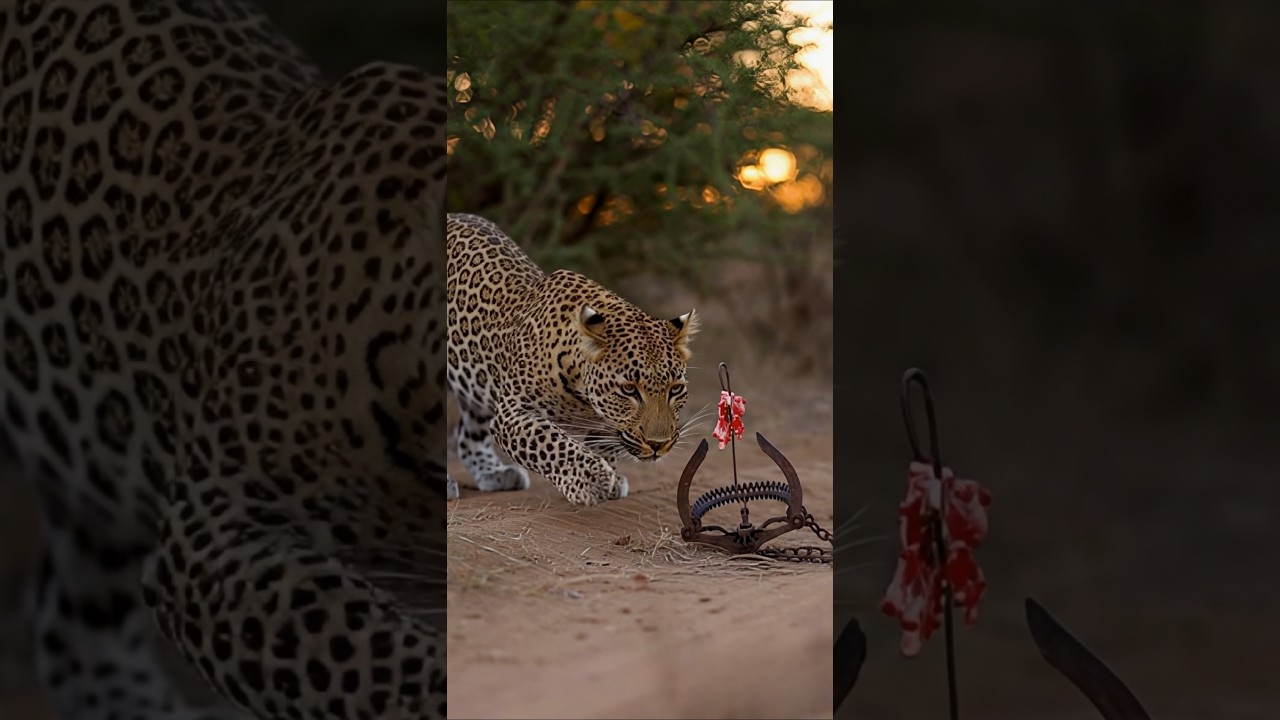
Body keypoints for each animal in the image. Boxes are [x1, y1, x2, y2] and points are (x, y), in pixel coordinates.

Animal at [445, 213, 700, 507]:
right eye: (628, 390)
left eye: (676, 389)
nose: (659, 444)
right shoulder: (513, 413)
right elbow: (551, 442)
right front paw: (591, 480)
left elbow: (603, 444)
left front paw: (611, 477)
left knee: (467, 433)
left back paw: (492, 472)